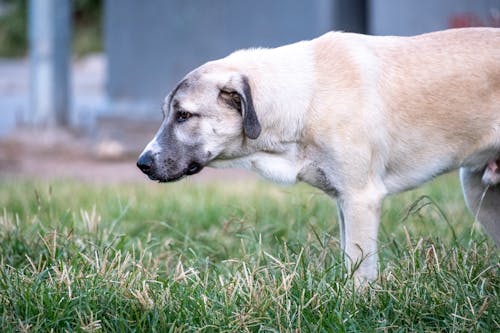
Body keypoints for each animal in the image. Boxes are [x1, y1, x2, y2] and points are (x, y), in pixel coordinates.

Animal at [138, 28, 500, 282]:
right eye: (168, 114)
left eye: (184, 115)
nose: (142, 164)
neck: (306, 97)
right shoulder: (344, 202)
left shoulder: (360, 199)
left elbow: (360, 269)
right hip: (479, 193)